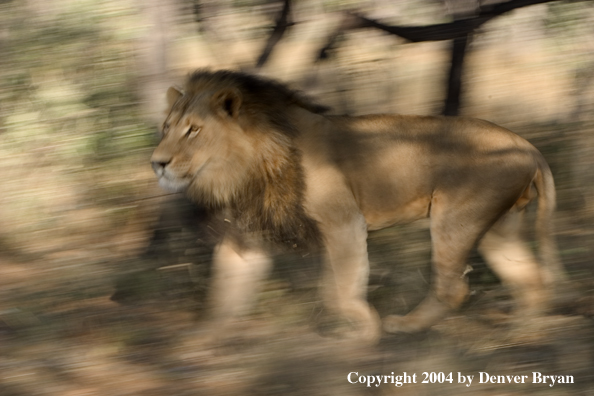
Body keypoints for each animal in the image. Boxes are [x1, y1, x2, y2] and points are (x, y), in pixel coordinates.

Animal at [149, 69, 564, 342]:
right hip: (497, 227)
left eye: (194, 130)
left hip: (454, 219)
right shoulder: (248, 238)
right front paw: (199, 341)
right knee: (530, 276)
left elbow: (339, 290)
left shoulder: (343, 222)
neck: (245, 167)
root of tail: (527, 146)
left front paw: (365, 332)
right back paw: (527, 330)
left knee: (454, 288)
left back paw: (405, 326)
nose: (158, 162)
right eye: (166, 128)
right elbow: (223, 294)